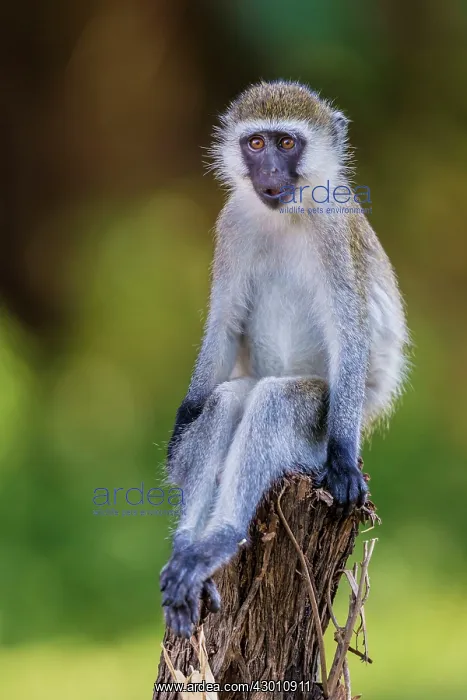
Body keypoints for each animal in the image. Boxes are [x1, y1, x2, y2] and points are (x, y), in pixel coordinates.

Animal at [160, 80, 409, 638]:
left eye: (287, 143)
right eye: (256, 144)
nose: (270, 171)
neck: (288, 214)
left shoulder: (335, 227)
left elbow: (349, 335)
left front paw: (342, 461)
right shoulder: (231, 223)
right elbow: (224, 323)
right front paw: (185, 417)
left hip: (316, 421)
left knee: (274, 401)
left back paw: (220, 537)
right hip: (250, 380)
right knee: (228, 400)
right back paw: (191, 548)